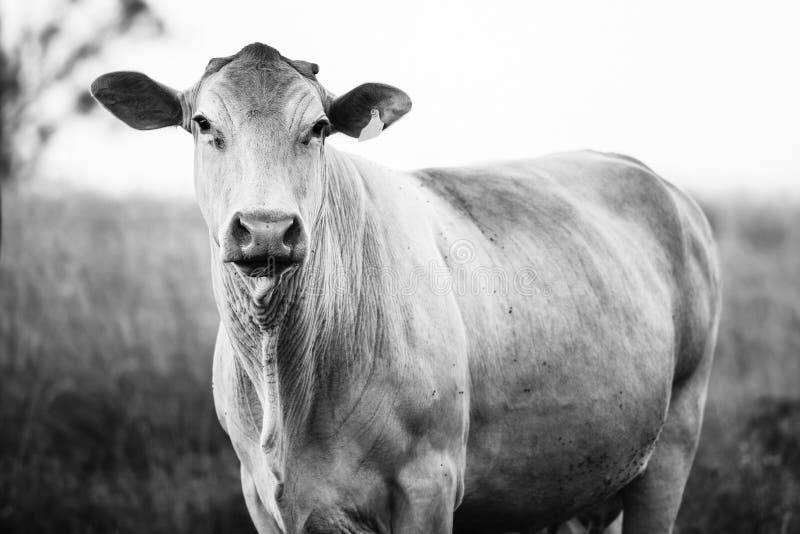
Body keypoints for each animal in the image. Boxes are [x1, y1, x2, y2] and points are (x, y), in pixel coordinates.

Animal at [91, 43, 720, 533]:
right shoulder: (262, 497)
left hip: (674, 443)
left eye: (318, 128)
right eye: (204, 124)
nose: (266, 227)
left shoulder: (429, 484)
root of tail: (652, 179)